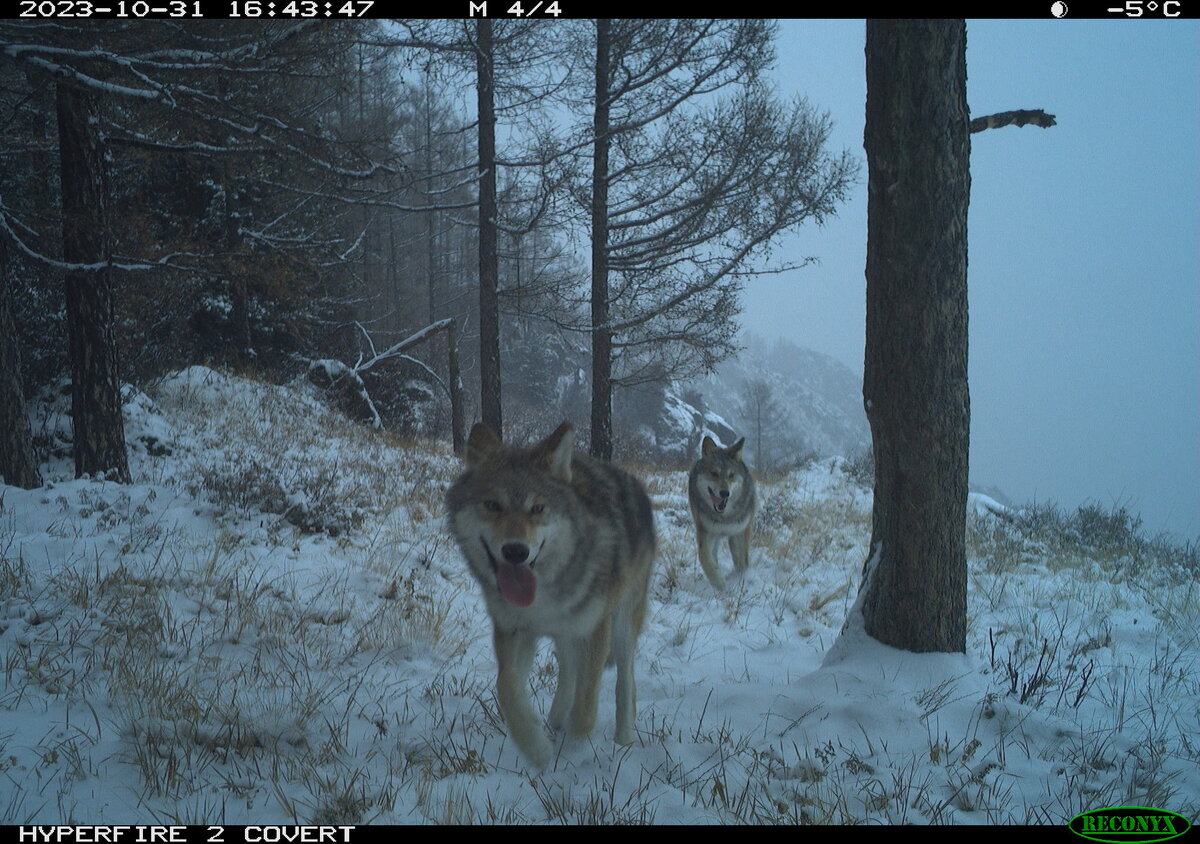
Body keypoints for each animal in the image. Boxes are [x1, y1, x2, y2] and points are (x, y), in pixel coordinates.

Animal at [446, 422, 657, 773]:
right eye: (492, 505)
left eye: (537, 508)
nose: (515, 551)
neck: (545, 592)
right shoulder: (513, 630)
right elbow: (506, 688)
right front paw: (537, 750)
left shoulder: (594, 629)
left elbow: (586, 705)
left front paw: (574, 749)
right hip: (566, 634)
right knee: (569, 668)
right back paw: (556, 717)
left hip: (622, 622)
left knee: (624, 678)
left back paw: (624, 737)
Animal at [691, 439, 753, 590]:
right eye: (714, 473)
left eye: (731, 475)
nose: (725, 493)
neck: (725, 517)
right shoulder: (705, 532)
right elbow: (706, 559)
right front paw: (720, 586)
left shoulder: (740, 531)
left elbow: (742, 562)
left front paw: (739, 579)